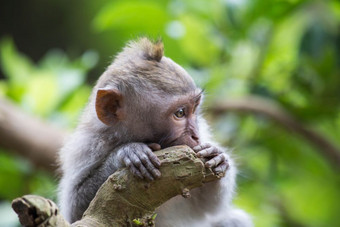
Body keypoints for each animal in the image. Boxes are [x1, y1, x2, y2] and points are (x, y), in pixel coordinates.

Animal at [57, 38, 252, 226]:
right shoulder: (86, 146)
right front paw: (127, 153)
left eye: (195, 109)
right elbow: (77, 212)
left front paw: (217, 156)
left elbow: (207, 207)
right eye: (180, 113)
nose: (196, 136)